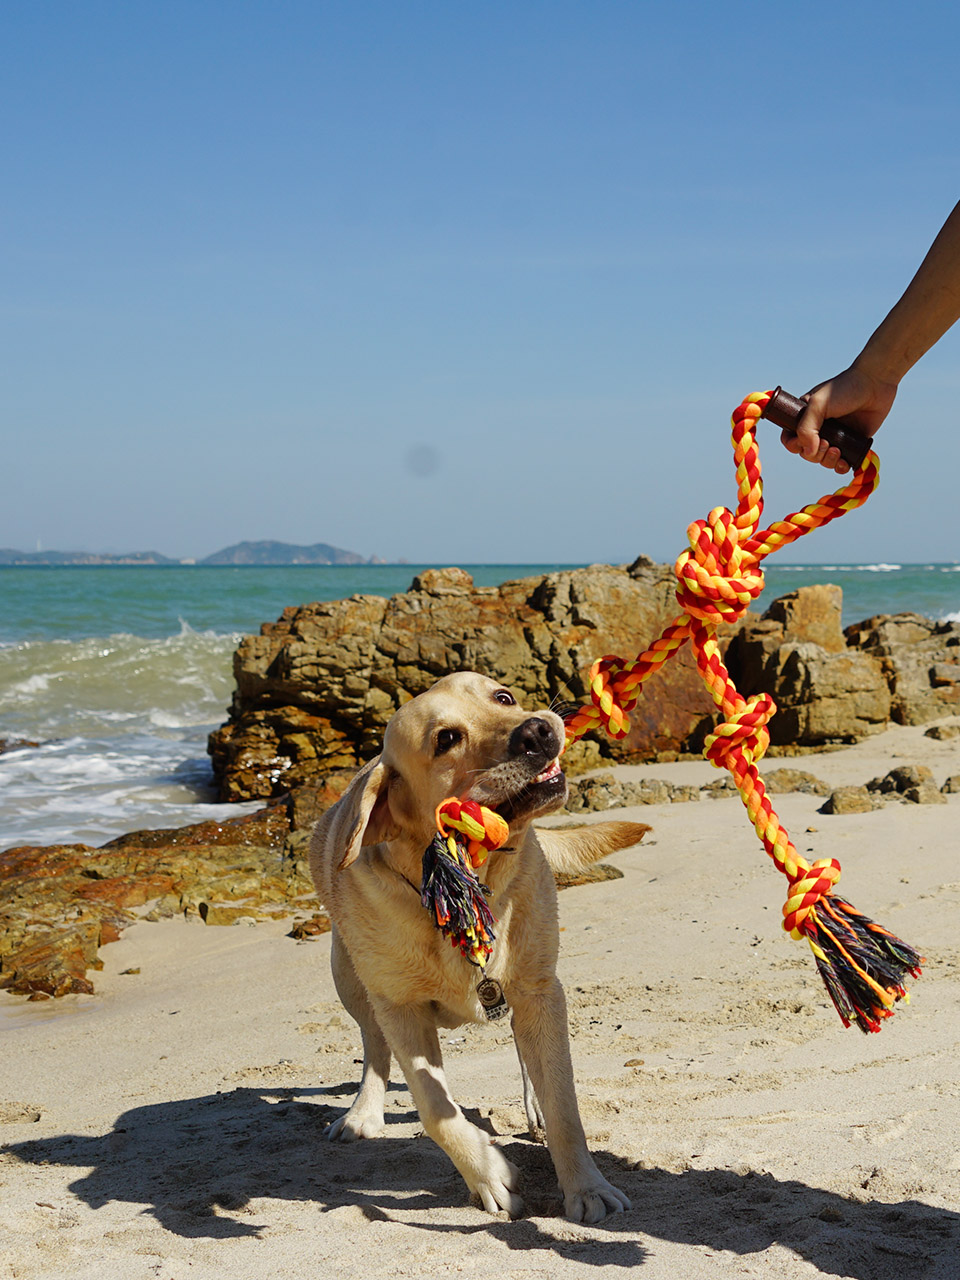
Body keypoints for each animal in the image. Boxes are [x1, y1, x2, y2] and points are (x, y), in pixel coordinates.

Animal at [312, 670, 650, 1218]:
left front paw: (586, 1188)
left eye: (503, 698)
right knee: (374, 1047)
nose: (537, 730)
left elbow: (565, 1105)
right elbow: (434, 1108)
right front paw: (489, 1174)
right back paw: (363, 1113)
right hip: (349, 977)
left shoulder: (540, 991)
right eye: (446, 739)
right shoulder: (401, 1008)